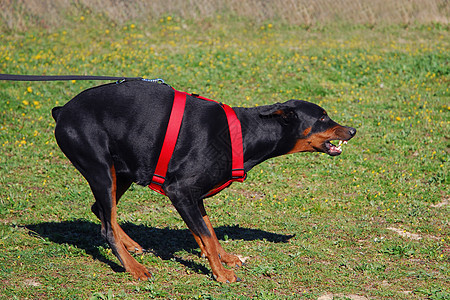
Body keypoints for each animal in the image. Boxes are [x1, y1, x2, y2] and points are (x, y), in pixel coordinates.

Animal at [51, 79, 356, 282]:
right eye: (322, 117)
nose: (352, 130)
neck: (244, 133)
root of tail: (62, 110)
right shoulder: (180, 191)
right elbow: (206, 235)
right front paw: (221, 273)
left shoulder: (195, 196)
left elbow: (207, 231)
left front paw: (224, 258)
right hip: (101, 170)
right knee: (107, 226)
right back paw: (133, 267)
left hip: (121, 171)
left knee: (101, 212)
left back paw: (132, 246)